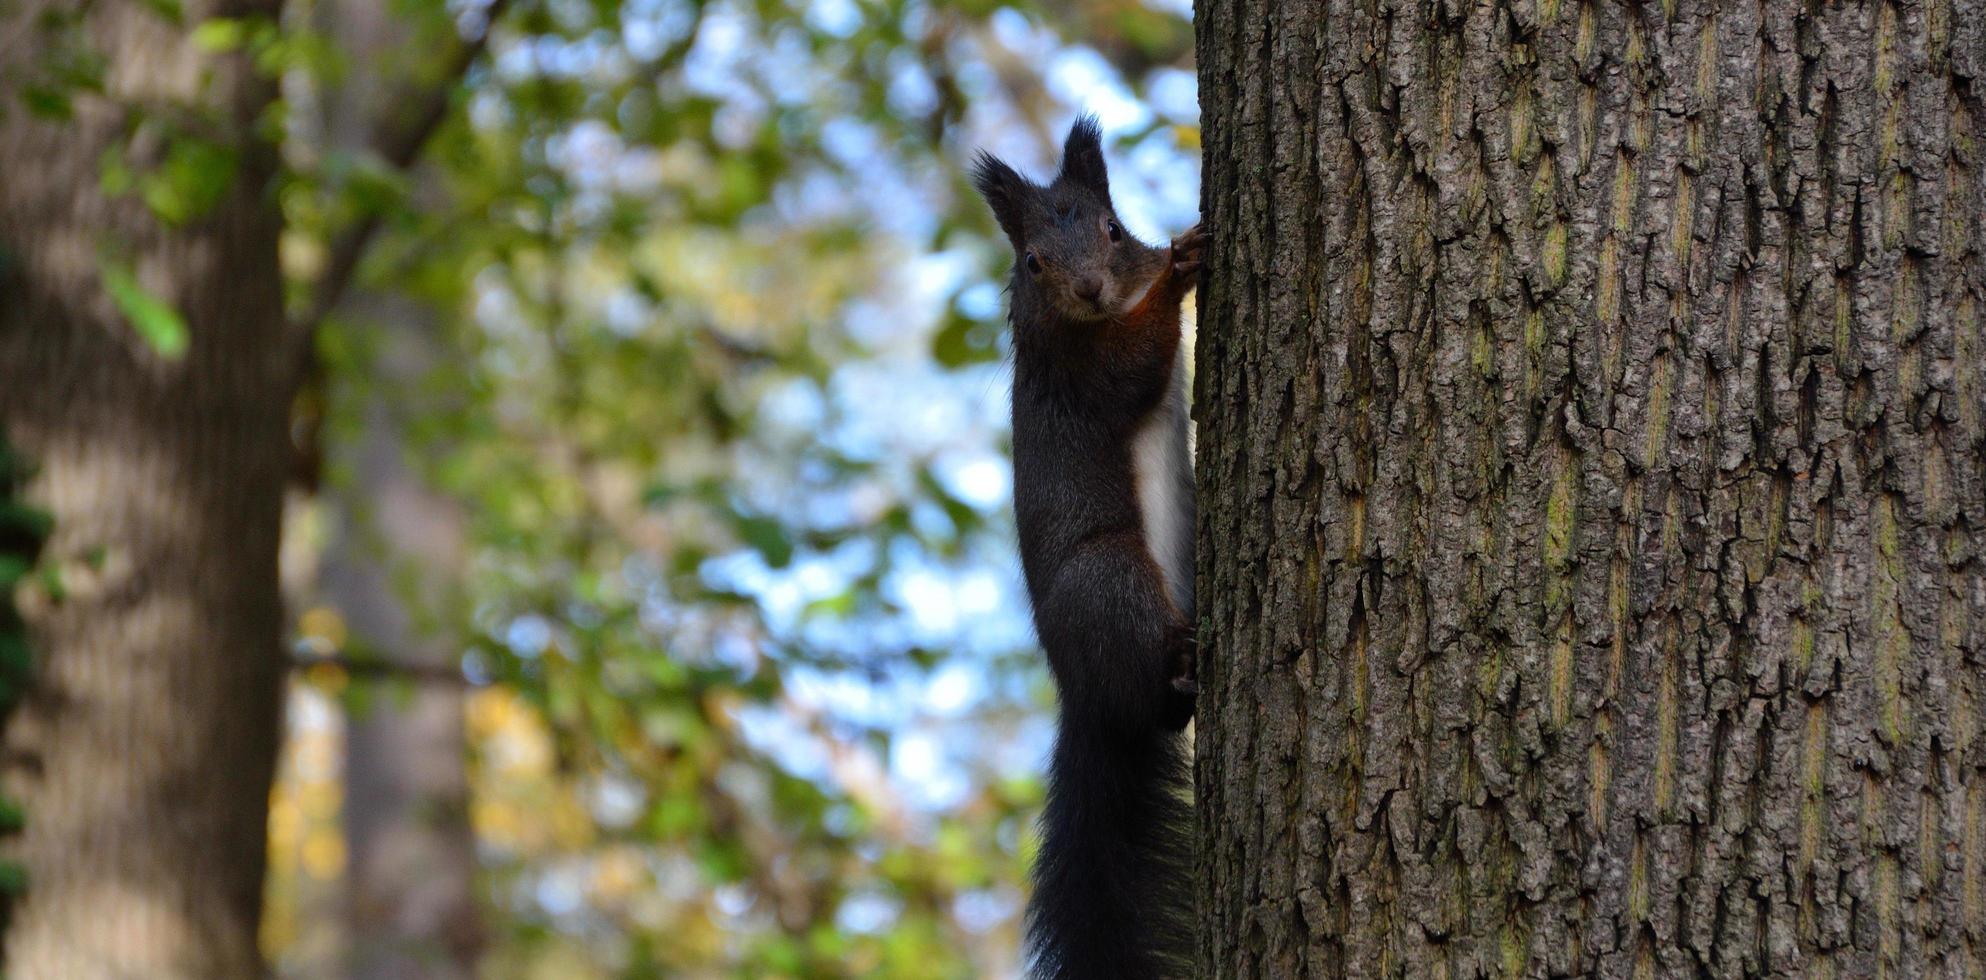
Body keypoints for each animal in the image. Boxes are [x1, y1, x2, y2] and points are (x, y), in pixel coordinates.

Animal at [973, 118, 1199, 974]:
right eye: (1033, 262)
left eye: (1112, 229)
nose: (1091, 289)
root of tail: (1081, 697)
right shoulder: (1081, 374)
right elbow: (1134, 363)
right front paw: (1180, 273)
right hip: (1111, 579)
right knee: (1152, 694)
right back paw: (1183, 662)